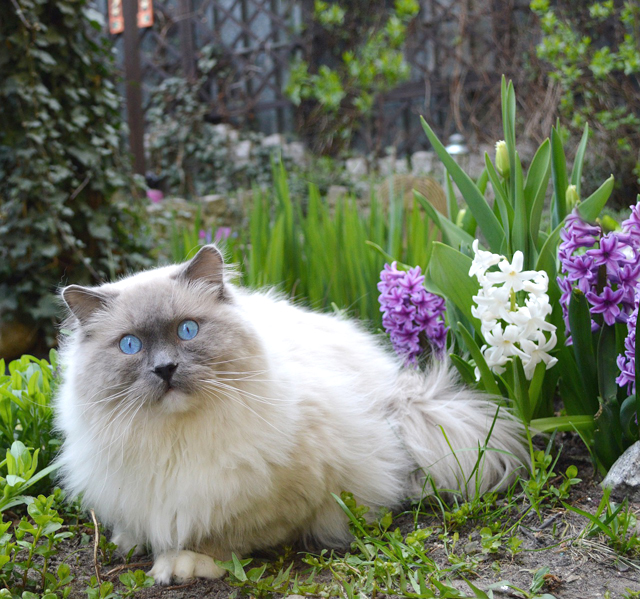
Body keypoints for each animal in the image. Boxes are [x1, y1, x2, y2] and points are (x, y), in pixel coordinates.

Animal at [55, 245, 528, 584]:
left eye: (187, 330)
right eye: (130, 345)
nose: (165, 369)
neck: (176, 438)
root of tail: (398, 389)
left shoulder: (274, 499)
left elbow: (220, 537)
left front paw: (183, 564)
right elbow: (140, 523)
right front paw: (132, 542)